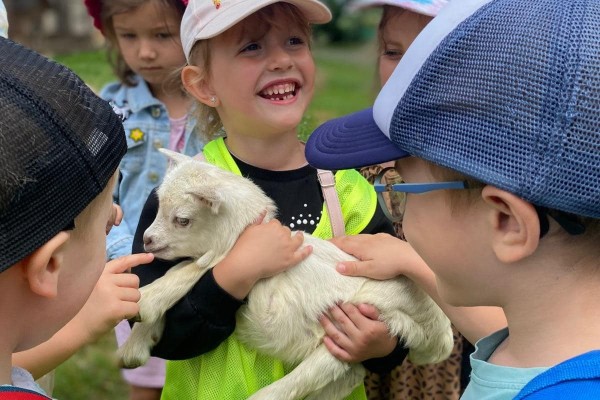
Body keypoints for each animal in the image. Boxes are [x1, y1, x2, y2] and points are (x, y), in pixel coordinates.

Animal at [119, 150, 452, 400]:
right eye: (157, 207)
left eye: (183, 220)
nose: (147, 240)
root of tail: (441, 330)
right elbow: (186, 268)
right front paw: (137, 344)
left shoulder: (226, 253)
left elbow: (192, 268)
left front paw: (146, 302)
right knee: (343, 376)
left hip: (372, 316)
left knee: (315, 372)